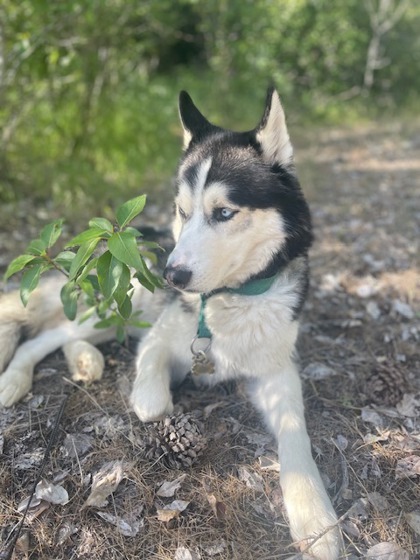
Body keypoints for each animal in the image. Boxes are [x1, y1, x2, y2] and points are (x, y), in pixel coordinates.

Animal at [0, 89, 342, 556]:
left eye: (224, 213)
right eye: (183, 211)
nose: (171, 275)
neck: (229, 300)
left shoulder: (277, 370)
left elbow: (296, 434)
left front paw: (316, 517)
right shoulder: (158, 341)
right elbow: (152, 401)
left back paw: (85, 360)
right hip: (117, 304)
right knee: (46, 335)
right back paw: (17, 377)